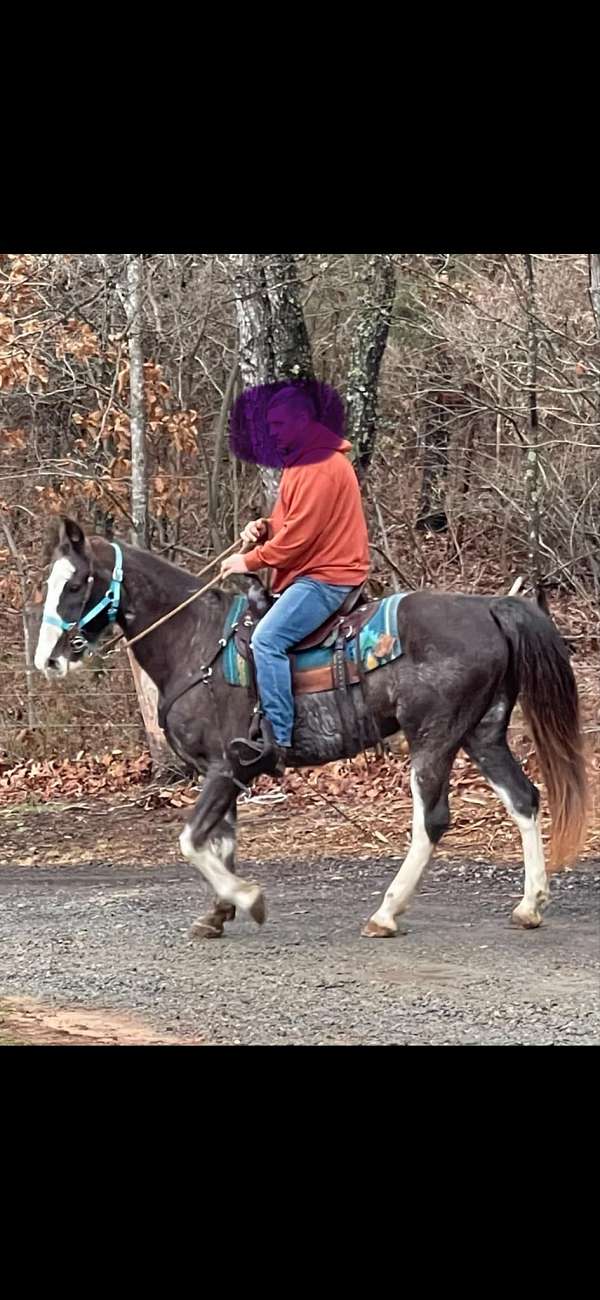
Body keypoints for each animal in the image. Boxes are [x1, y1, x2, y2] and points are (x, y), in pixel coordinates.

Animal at [33, 512, 587, 941]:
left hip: (434, 738)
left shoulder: (225, 766)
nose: (48, 661)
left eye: (75, 584)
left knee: (431, 821)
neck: (198, 642)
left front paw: (248, 899)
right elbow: (221, 842)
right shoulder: (228, 773)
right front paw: (218, 912)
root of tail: (489, 607)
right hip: (482, 733)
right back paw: (529, 905)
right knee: (523, 799)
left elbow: (192, 840)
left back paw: (386, 912)